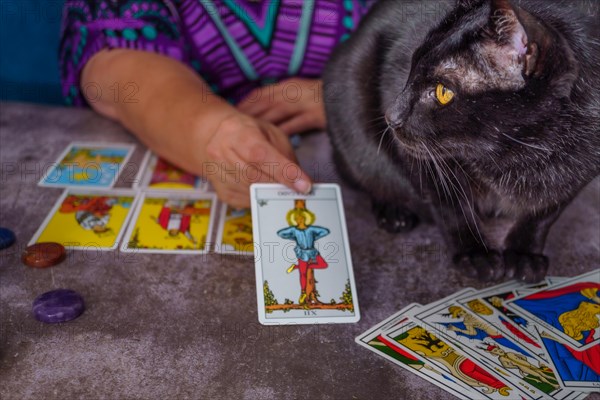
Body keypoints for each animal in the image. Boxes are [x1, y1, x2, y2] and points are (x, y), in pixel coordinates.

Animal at [326, 0, 596, 284]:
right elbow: (451, 206)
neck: (523, 152)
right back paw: (393, 212)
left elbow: (544, 213)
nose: (391, 116)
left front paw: (524, 254)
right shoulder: (422, 159)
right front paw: (475, 253)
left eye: (443, 92)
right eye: (410, 66)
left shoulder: (581, 170)